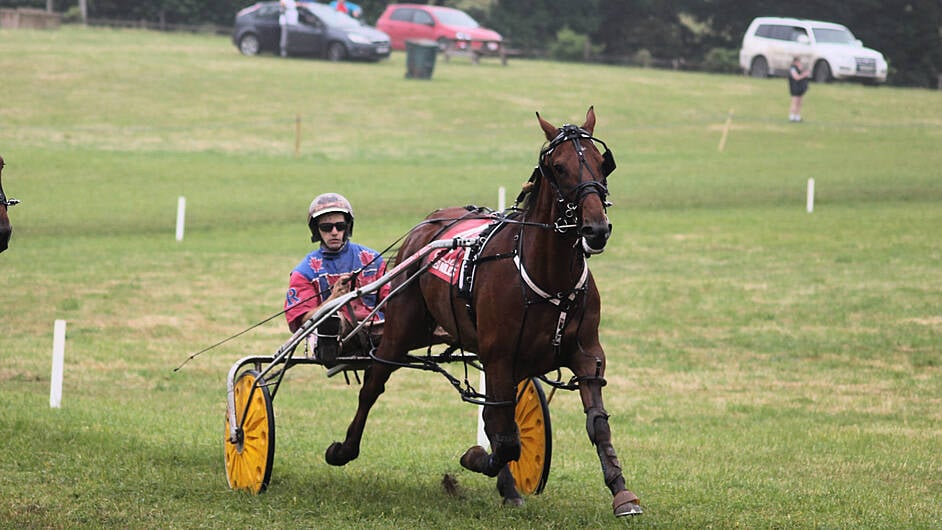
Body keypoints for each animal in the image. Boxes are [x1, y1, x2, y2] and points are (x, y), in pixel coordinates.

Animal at [322, 107, 640, 516]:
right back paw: (344, 449)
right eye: (559, 166)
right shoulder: (500, 356)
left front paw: (621, 492)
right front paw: (476, 459)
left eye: (603, 163)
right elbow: (503, 438)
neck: (546, 276)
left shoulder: (586, 354)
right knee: (374, 383)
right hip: (401, 329)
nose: (596, 228)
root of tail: (427, 225)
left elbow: (596, 424)